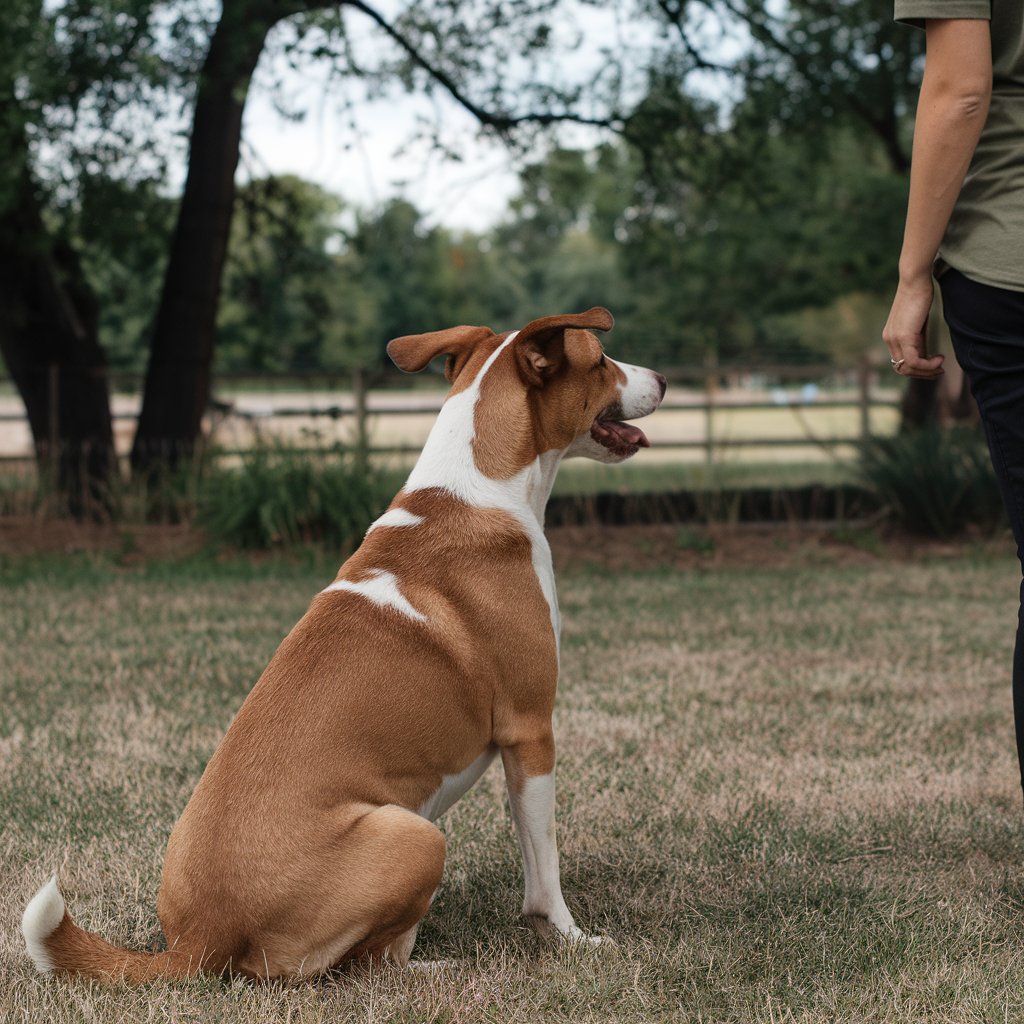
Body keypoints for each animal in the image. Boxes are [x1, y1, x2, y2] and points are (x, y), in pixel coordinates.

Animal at [24, 305, 667, 983]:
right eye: (600, 359)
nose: (664, 380)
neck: (477, 486)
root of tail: (198, 939)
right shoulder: (531, 729)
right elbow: (544, 866)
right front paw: (570, 938)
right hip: (417, 837)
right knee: (365, 966)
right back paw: (441, 967)